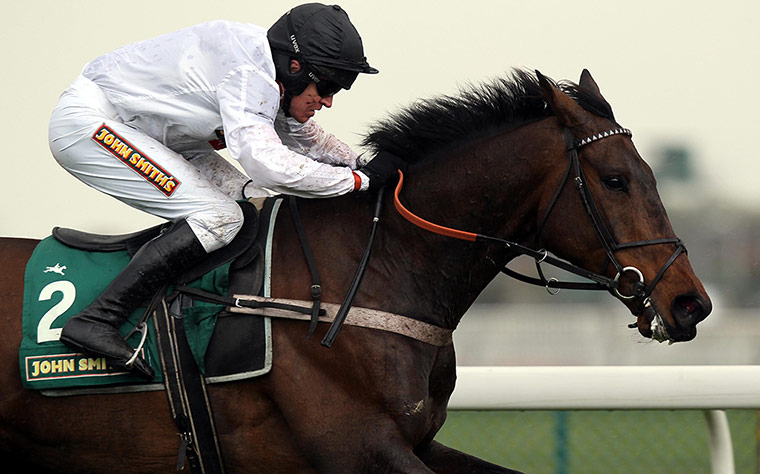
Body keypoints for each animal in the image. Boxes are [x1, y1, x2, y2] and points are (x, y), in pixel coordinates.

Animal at [0, 69, 711, 473]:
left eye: (650, 174)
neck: (376, 269)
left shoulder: (417, 442)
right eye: (615, 180)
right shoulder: (356, 446)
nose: (690, 303)